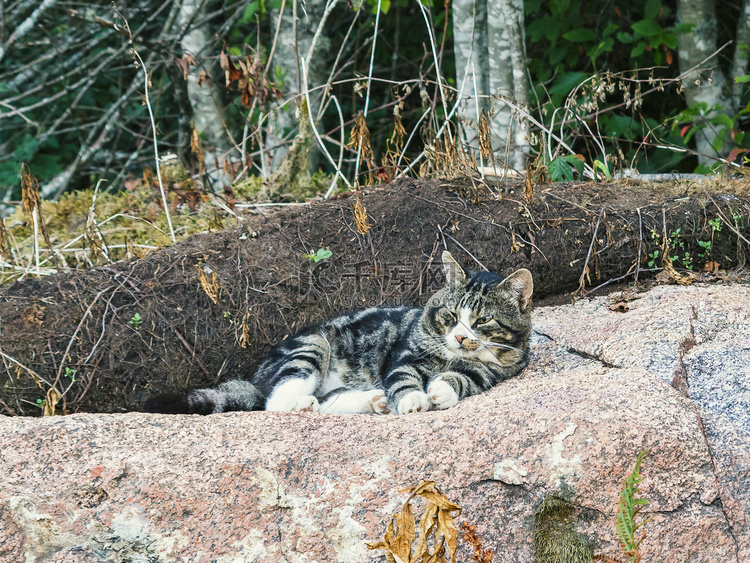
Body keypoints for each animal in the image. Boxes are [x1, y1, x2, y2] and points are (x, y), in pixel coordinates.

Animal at [145, 251, 536, 414]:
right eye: (452, 315)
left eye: (482, 320)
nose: (459, 337)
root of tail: (257, 376)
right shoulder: (406, 354)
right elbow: (404, 376)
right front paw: (412, 399)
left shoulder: (495, 372)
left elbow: (465, 378)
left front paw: (441, 390)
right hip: (311, 345)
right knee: (275, 401)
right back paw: (301, 403)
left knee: (326, 403)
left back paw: (371, 401)